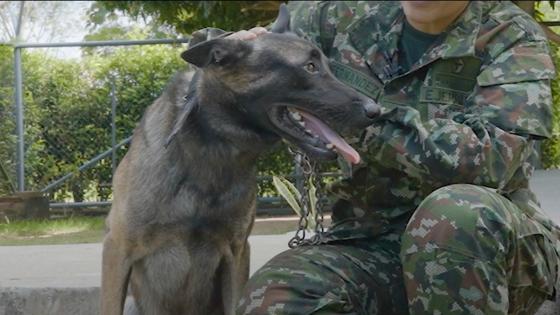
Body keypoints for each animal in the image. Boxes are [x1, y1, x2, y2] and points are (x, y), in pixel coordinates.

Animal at [100, 5, 380, 315]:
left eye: (328, 66)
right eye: (309, 67)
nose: (375, 110)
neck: (213, 148)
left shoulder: (236, 252)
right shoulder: (117, 250)